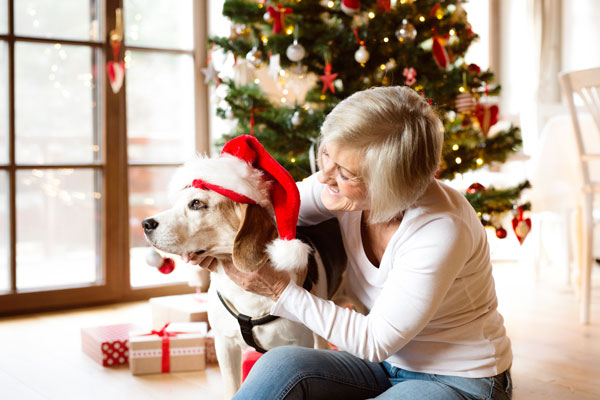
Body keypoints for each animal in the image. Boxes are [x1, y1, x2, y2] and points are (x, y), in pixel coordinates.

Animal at [142, 137, 354, 396]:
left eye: (196, 203)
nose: (145, 224)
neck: (245, 295)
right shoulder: (224, 345)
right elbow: (232, 386)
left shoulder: (297, 344)